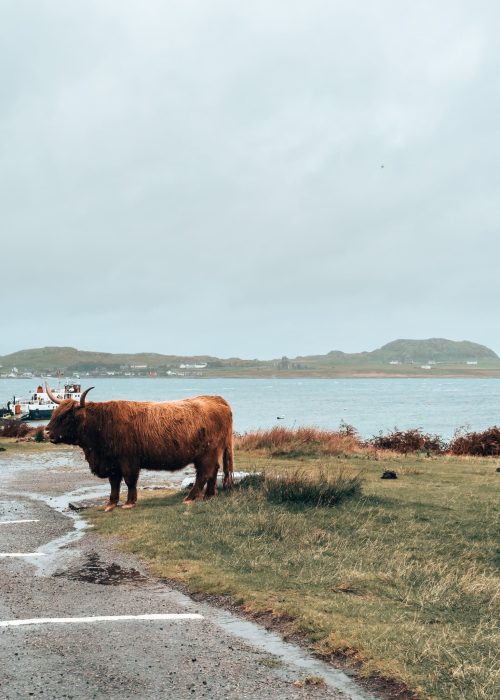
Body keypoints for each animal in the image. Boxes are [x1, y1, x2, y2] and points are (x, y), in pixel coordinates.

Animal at [45, 386, 234, 512]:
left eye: (66, 416)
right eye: (54, 413)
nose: (46, 432)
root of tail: (216, 399)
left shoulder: (128, 460)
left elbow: (130, 481)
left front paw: (129, 502)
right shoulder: (112, 463)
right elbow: (114, 483)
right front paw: (111, 504)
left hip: (206, 454)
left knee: (203, 474)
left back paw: (189, 498)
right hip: (211, 454)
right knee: (212, 472)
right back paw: (209, 495)